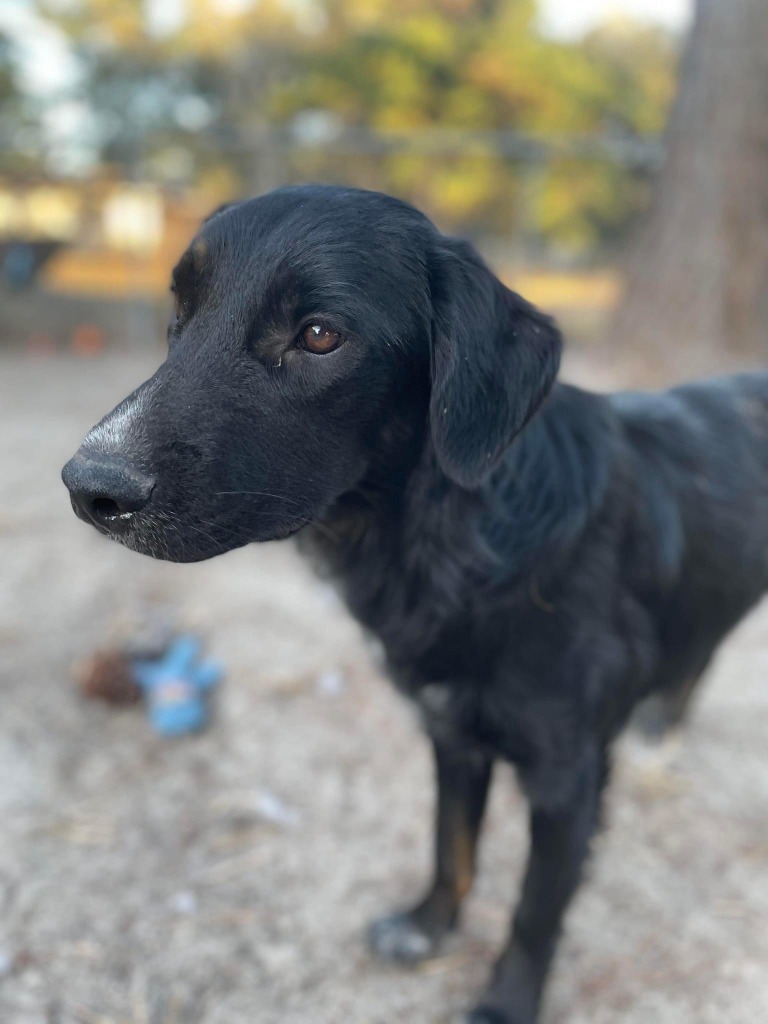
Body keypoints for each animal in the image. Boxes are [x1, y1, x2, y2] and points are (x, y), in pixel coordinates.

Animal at [63, 186, 768, 1024]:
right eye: (181, 309)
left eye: (320, 334)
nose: (87, 487)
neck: (458, 537)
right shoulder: (452, 734)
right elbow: (449, 844)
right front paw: (428, 928)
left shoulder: (569, 778)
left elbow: (535, 909)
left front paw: (505, 1004)